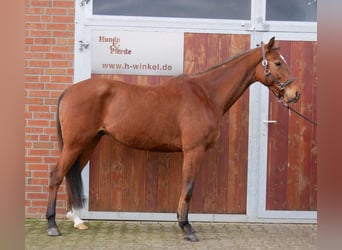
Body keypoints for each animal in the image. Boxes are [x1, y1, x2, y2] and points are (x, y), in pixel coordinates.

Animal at [46, 36, 300, 240]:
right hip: (75, 144)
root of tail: (70, 90)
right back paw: (52, 225)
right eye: (278, 63)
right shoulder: (194, 150)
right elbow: (188, 188)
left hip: (88, 143)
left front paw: (181, 222)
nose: (294, 94)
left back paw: (77, 220)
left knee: (70, 173)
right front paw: (187, 228)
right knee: (57, 175)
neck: (205, 94)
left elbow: (185, 187)